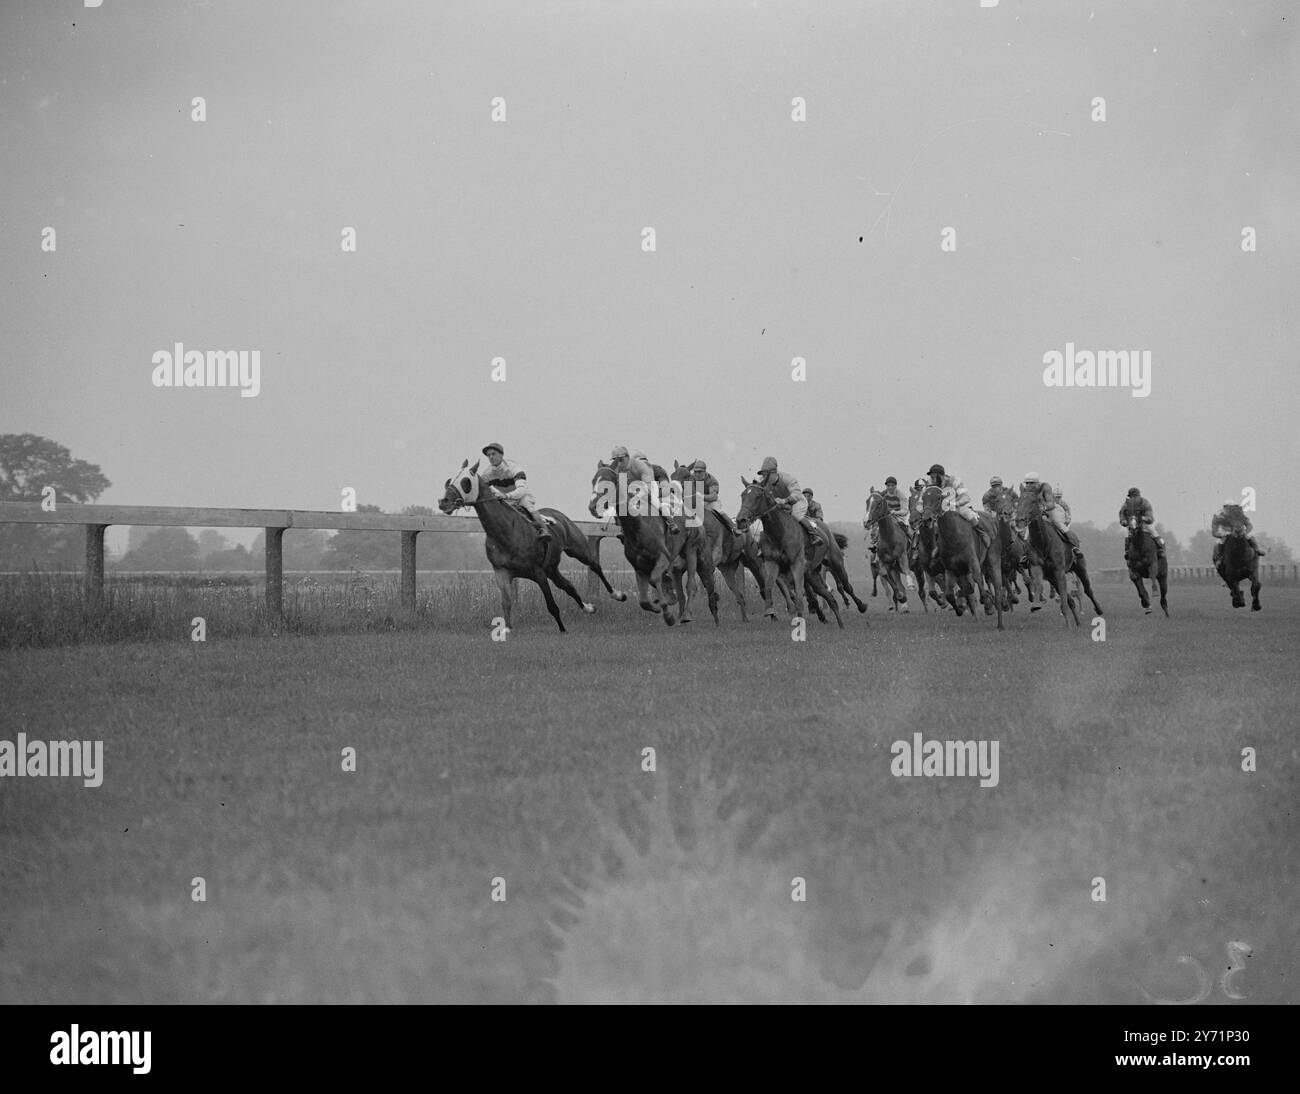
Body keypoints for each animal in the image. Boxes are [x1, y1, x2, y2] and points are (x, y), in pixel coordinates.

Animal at [915, 483, 1003, 626]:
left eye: (938, 498)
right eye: (923, 498)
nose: (926, 519)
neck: (953, 536)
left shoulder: (972, 561)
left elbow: (977, 581)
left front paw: (986, 602)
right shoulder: (947, 568)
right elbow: (949, 594)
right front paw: (959, 608)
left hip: (992, 558)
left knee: (992, 583)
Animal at [1008, 491, 1102, 626]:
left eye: (1033, 502)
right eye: (1019, 502)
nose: (1019, 519)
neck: (1043, 542)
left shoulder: (1059, 571)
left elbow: (1065, 597)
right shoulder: (1038, 568)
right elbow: (1039, 584)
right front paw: (1036, 604)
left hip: (1080, 567)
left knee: (1088, 589)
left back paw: (1098, 610)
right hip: (1053, 578)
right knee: (1071, 600)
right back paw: (1078, 623)